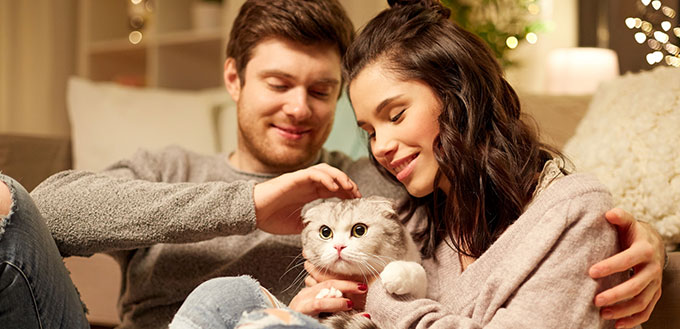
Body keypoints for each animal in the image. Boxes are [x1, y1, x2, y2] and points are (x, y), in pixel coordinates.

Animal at [302, 196, 428, 326]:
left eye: (359, 230)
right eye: (325, 232)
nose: (338, 246)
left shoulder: (422, 293)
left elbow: (419, 271)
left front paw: (396, 273)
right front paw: (329, 296)